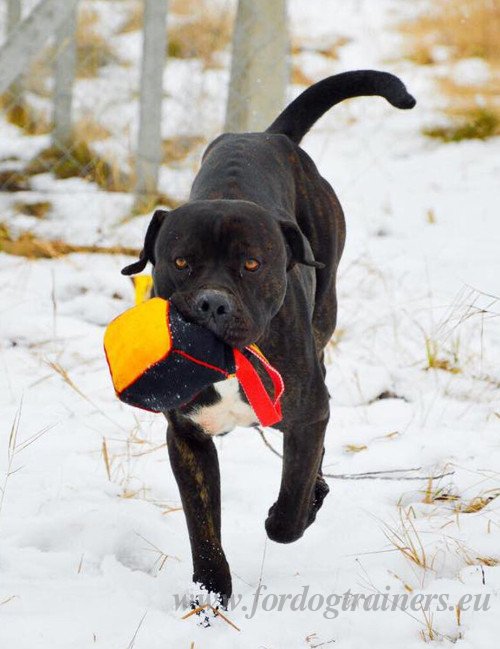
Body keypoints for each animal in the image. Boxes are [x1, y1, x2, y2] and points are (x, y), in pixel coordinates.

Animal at [123, 71, 416, 604]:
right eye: (181, 261)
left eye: (252, 264)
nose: (212, 303)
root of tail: (269, 136)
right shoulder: (188, 438)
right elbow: (202, 526)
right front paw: (211, 594)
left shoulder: (306, 414)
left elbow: (292, 499)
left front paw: (292, 513)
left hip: (325, 309)